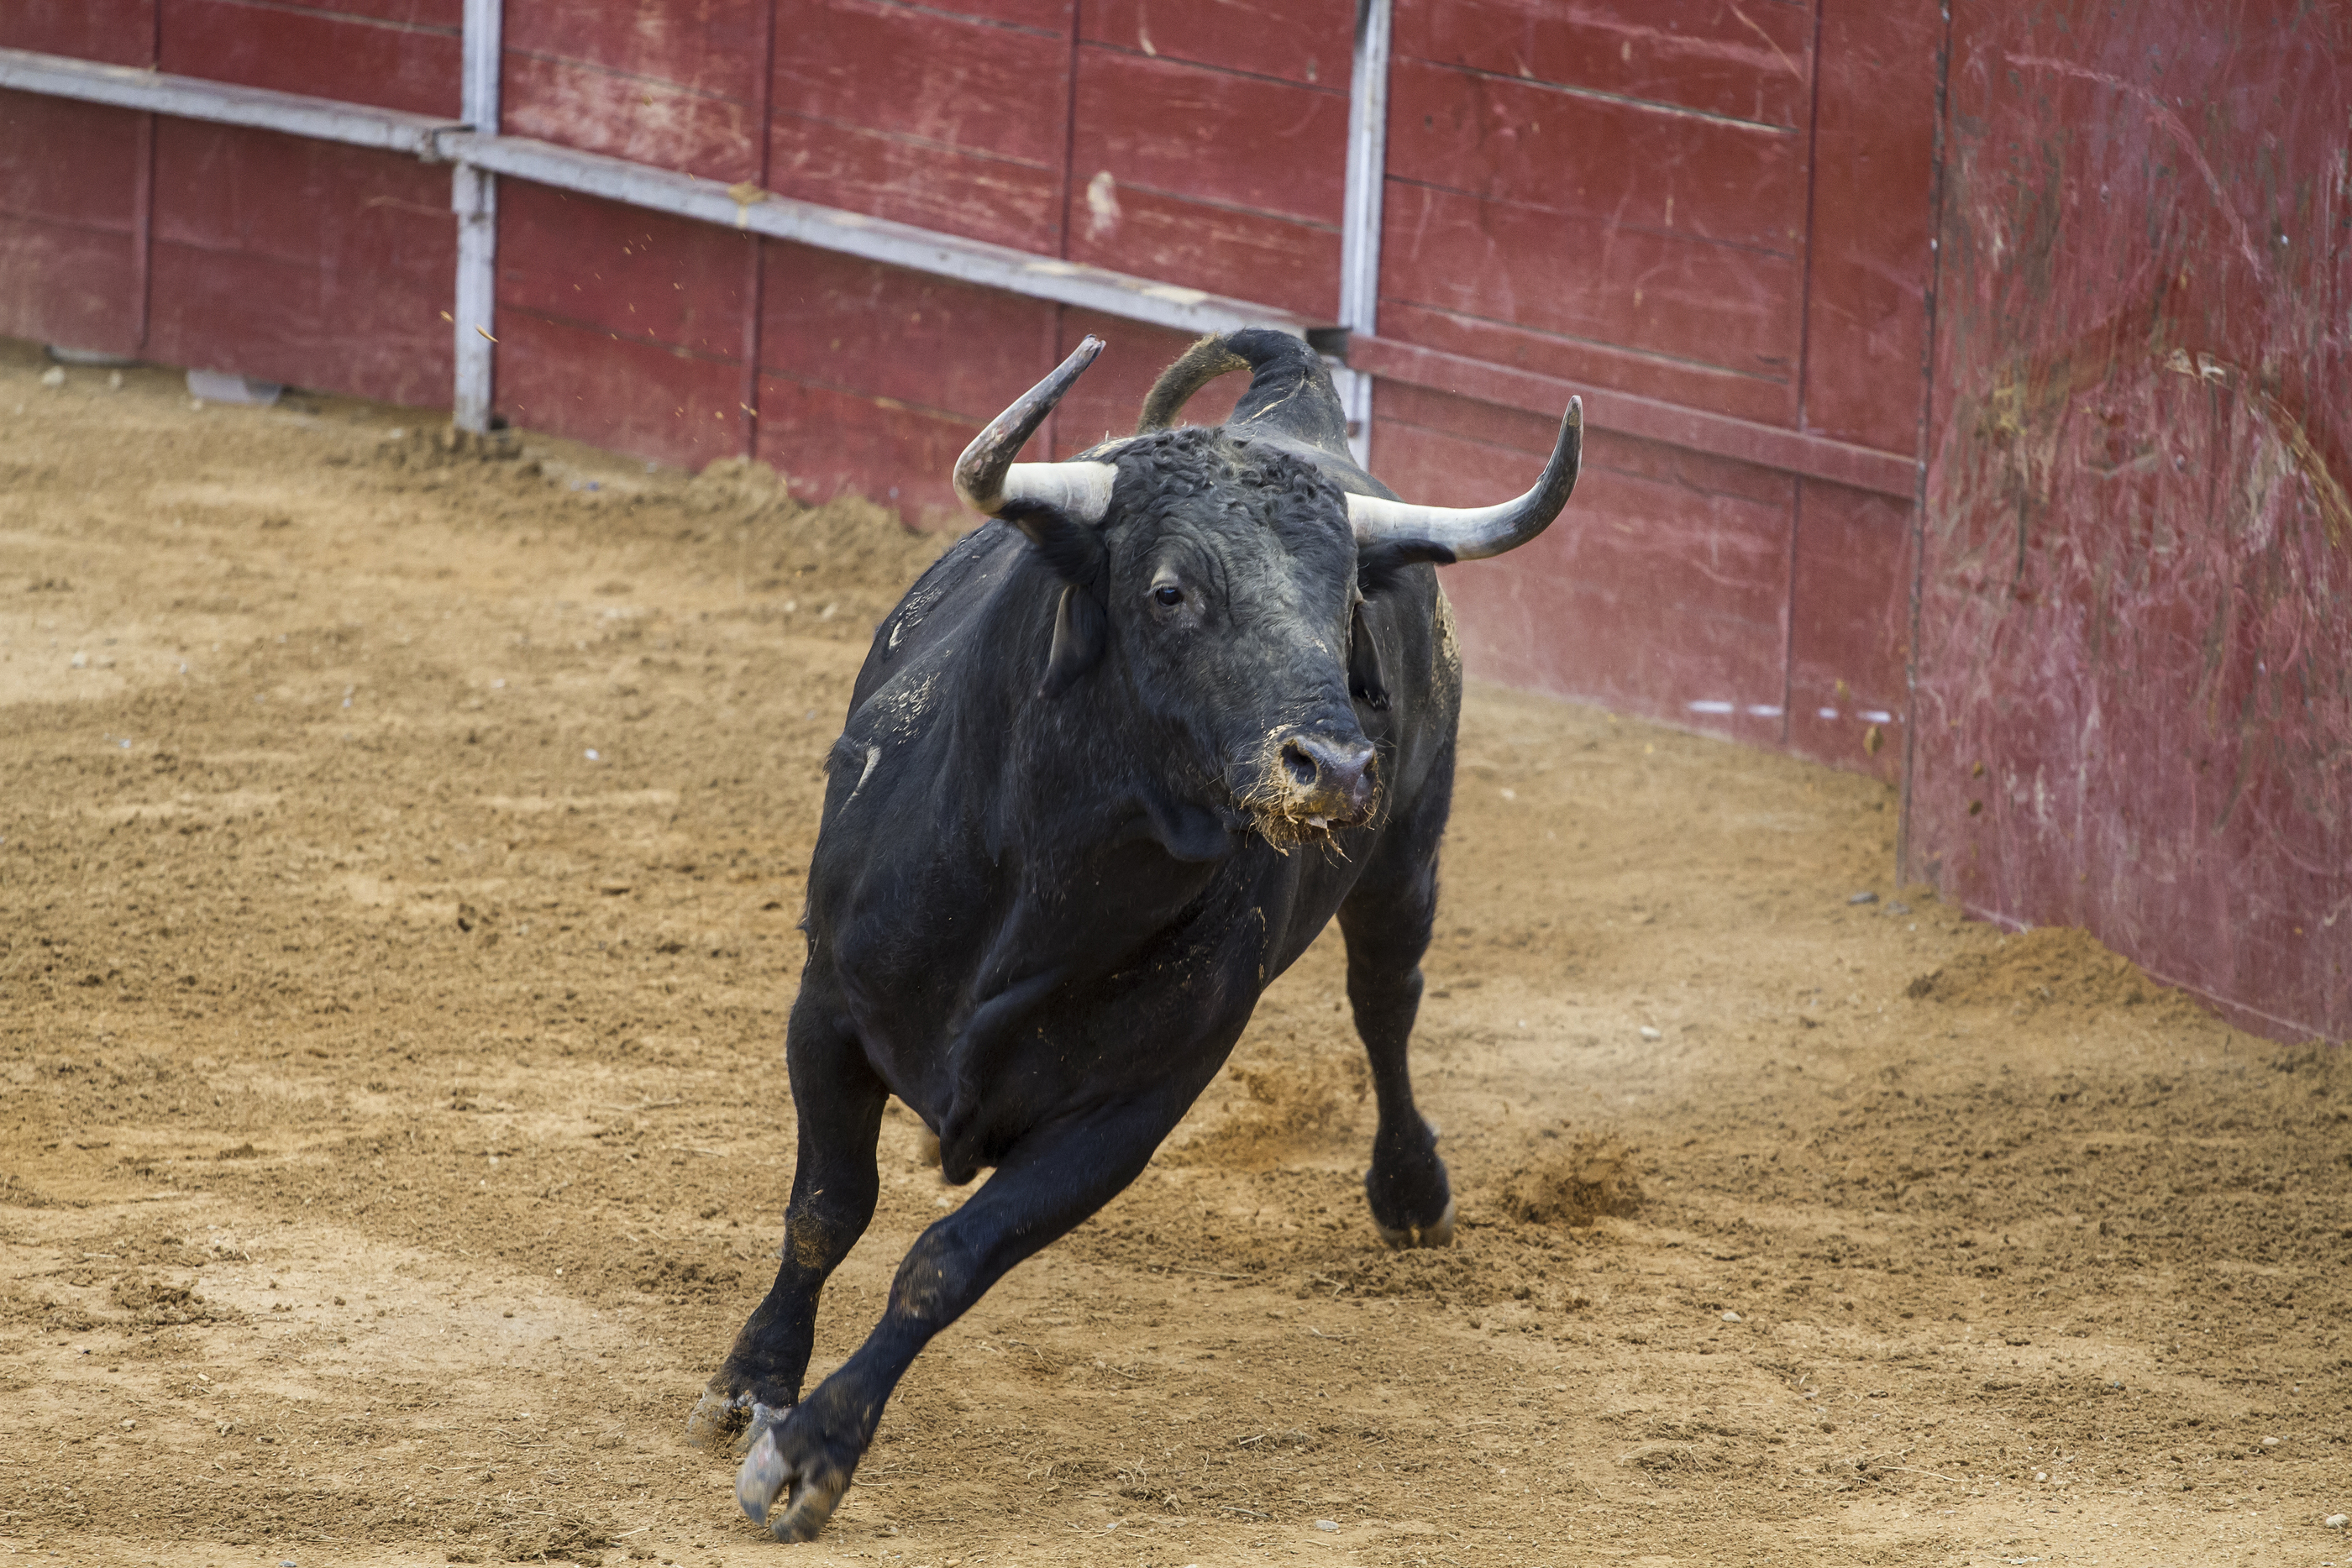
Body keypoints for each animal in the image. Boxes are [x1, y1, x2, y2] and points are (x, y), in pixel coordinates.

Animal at [682, 324, 1580, 1542]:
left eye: (1343, 595)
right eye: (1169, 590)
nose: (1338, 766)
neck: (1045, 878)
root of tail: (1290, 391)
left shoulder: (1128, 1113)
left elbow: (945, 1261)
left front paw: (813, 1450)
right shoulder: (826, 1009)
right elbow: (826, 1210)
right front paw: (753, 1383)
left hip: (1407, 857)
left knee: (1385, 1001)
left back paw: (1411, 1191)